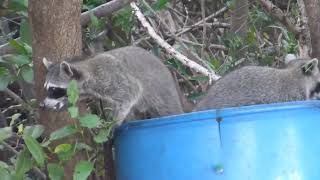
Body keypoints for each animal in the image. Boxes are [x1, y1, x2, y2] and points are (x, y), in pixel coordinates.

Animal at [41, 46, 184, 124]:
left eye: (53, 89)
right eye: (46, 88)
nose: (42, 105)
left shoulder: (111, 77)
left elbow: (132, 92)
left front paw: (114, 123)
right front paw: (64, 101)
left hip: (162, 92)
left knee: (168, 110)